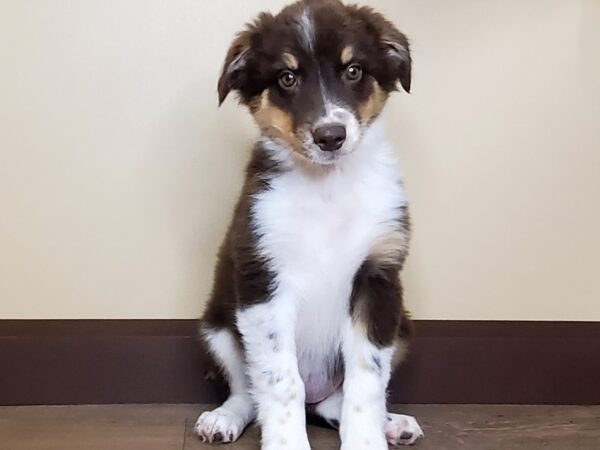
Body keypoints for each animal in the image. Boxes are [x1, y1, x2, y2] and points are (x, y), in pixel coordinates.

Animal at [197, 0, 422, 450]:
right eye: (287, 78)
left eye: (353, 70)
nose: (330, 135)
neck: (327, 187)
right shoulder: (262, 279)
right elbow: (281, 381)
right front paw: (286, 443)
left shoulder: (378, 278)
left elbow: (367, 379)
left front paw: (367, 440)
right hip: (218, 325)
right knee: (249, 391)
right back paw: (222, 419)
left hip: (402, 325)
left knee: (332, 401)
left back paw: (392, 423)